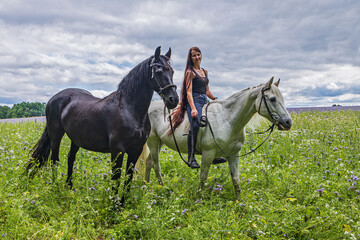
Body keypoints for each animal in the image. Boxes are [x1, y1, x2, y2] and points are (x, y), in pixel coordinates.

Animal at [25, 46, 179, 205]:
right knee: (54, 160)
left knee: (70, 158)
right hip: (56, 135)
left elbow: (128, 177)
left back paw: (70, 187)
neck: (128, 110)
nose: (173, 100)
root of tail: (53, 99)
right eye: (158, 70)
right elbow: (116, 178)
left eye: (172, 71)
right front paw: (115, 205)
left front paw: (122, 203)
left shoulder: (135, 150)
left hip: (76, 139)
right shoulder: (117, 150)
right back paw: (56, 188)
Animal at [141, 77, 292, 199]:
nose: (288, 122)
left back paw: (146, 185)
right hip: (153, 142)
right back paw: (162, 187)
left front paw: (239, 202)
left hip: (159, 143)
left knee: (149, 163)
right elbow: (203, 176)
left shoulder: (234, 155)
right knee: (156, 166)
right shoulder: (208, 153)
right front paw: (199, 199)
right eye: (272, 99)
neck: (227, 119)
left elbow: (236, 179)